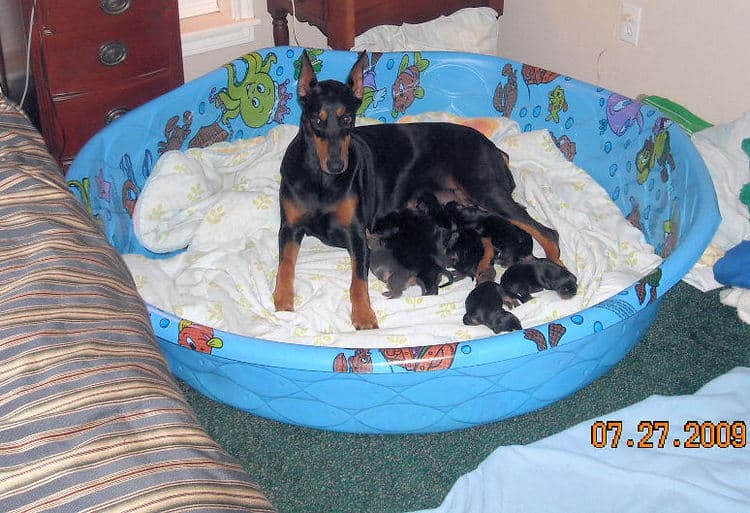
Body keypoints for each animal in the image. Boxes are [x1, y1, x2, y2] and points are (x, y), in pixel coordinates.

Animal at [272, 51, 564, 328]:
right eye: (316, 120)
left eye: (347, 119)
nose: (336, 165)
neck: (320, 180)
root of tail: (493, 148)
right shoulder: (290, 227)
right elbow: (285, 264)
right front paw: (283, 300)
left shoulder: (356, 233)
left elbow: (358, 280)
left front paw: (364, 315)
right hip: (472, 207)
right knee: (488, 241)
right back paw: (486, 272)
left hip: (486, 192)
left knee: (547, 232)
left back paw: (556, 271)